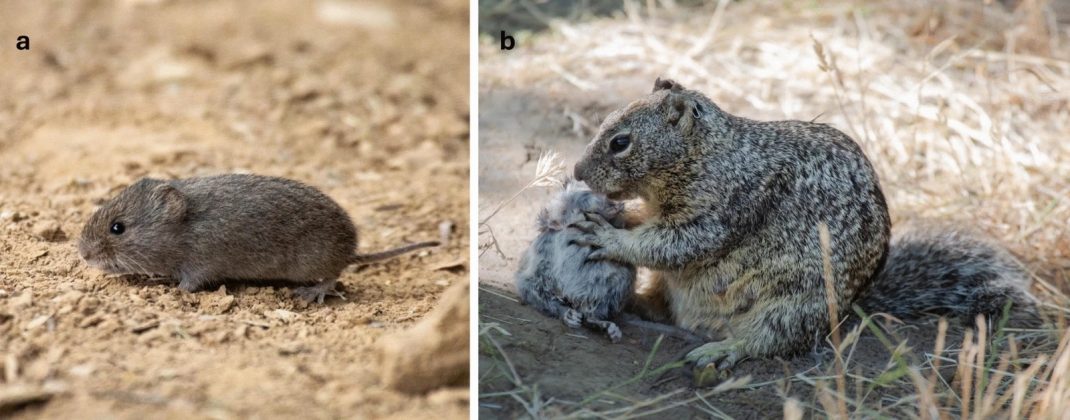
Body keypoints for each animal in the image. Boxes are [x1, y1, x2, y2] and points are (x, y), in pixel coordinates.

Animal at [573, 76, 1040, 367]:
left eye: (620, 142)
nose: (577, 171)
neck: (711, 154)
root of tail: (851, 309)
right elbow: (649, 226)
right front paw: (614, 214)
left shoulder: (723, 209)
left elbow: (673, 244)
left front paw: (607, 236)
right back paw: (636, 305)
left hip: (791, 305)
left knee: (768, 341)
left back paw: (722, 350)